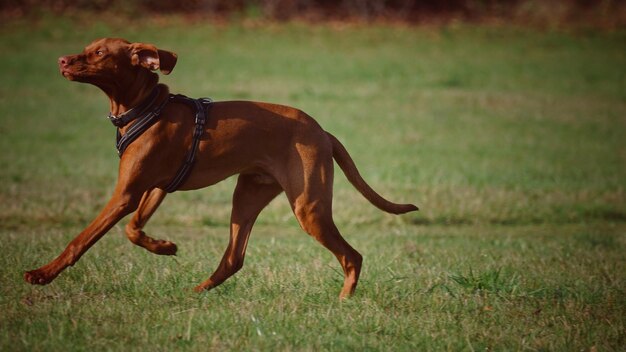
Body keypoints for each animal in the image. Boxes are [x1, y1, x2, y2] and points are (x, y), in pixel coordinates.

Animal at [23, 37, 414, 296]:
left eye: (100, 53)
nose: (61, 60)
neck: (145, 108)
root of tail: (322, 131)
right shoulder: (155, 188)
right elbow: (133, 230)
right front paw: (164, 246)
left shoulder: (126, 194)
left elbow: (80, 240)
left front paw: (42, 274)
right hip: (248, 195)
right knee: (234, 257)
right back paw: (197, 291)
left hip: (308, 207)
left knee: (351, 255)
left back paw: (345, 299)